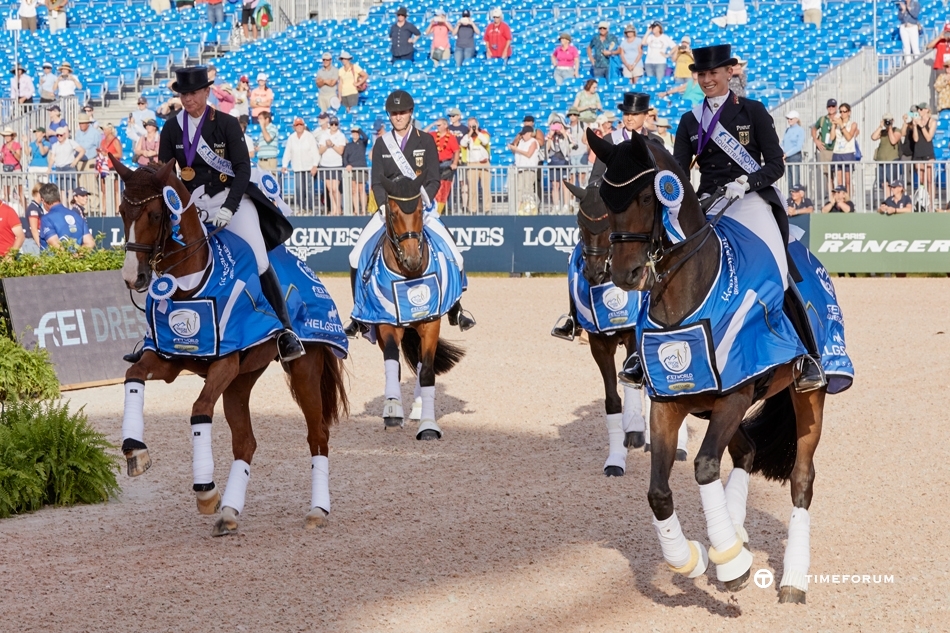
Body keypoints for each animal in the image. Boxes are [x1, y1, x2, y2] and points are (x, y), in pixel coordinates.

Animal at [112, 158, 350, 532]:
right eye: (123, 211)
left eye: (155, 214)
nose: (132, 277)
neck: (191, 284)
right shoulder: (168, 359)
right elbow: (133, 376)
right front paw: (135, 450)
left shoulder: (224, 362)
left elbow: (199, 410)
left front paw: (205, 491)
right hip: (241, 381)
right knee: (245, 443)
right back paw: (229, 512)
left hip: (303, 370)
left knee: (318, 436)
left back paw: (317, 510)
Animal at [354, 173, 464, 440]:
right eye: (393, 213)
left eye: (420, 210)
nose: (412, 258)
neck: (409, 275)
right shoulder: (386, 322)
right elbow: (392, 361)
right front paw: (392, 411)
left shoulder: (431, 322)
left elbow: (427, 371)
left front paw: (428, 425)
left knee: (423, 363)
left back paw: (419, 406)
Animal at [560, 179, 688, 474]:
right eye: (579, 222)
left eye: (609, 222)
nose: (593, 272)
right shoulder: (598, 343)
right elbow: (612, 399)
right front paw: (616, 460)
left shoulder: (632, 336)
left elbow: (633, 386)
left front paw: (636, 429)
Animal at [588, 130, 840, 604]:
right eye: (608, 201)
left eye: (647, 196)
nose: (626, 275)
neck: (686, 298)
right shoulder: (669, 404)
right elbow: (659, 492)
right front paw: (692, 558)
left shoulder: (736, 396)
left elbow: (705, 465)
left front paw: (732, 566)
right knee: (747, 451)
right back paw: (737, 532)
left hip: (809, 395)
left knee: (802, 478)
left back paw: (793, 580)